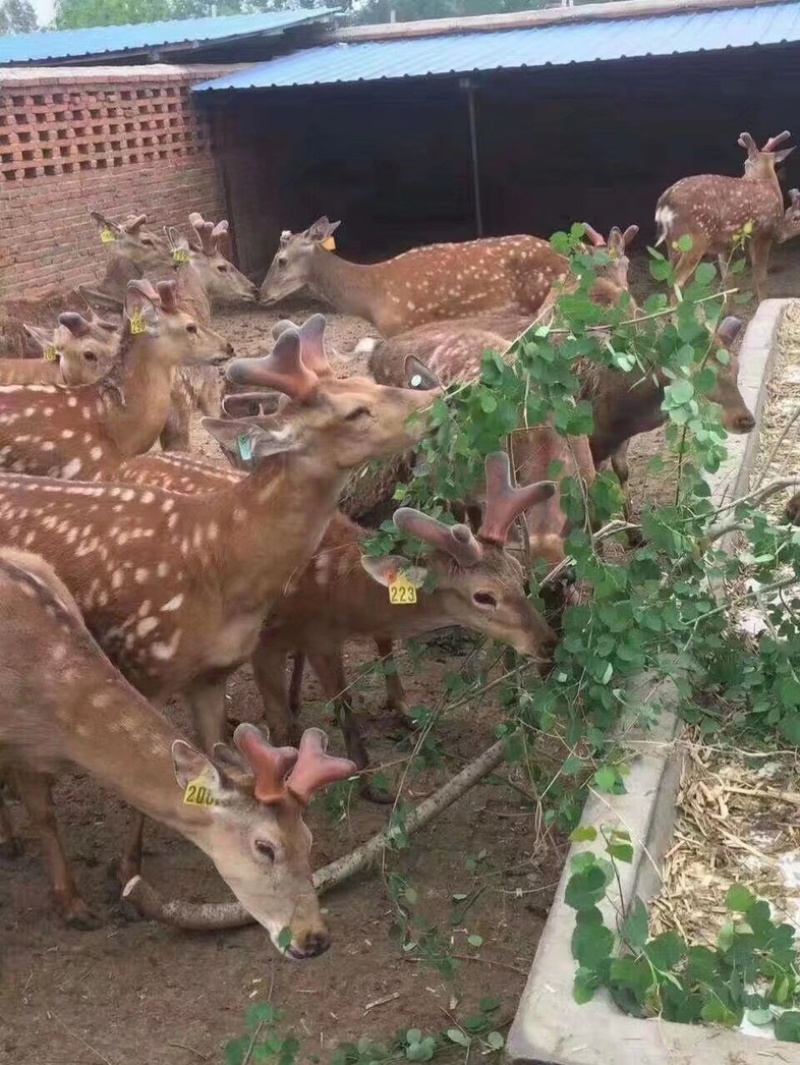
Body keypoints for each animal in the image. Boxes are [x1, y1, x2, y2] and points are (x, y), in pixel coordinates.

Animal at [0, 315, 441, 884]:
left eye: (367, 383)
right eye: (355, 411)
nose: (436, 396)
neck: (216, 560)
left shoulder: (212, 674)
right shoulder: (140, 662)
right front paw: (127, 868)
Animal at [109, 448, 558, 800]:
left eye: (519, 574)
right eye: (484, 596)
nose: (548, 641)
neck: (334, 590)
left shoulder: (324, 638)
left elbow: (344, 705)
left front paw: (371, 785)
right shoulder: (266, 642)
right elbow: (282, 727)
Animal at [654, 130, 796, 300]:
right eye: (745, 164)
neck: (767, 182)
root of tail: (665, 200)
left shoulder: (727, 244)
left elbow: (728, 280)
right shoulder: (765, 233)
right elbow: (760, 277)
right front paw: (763, 301)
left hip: (673, 244)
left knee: (669, 281)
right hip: (695, 239)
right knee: (677, 283)